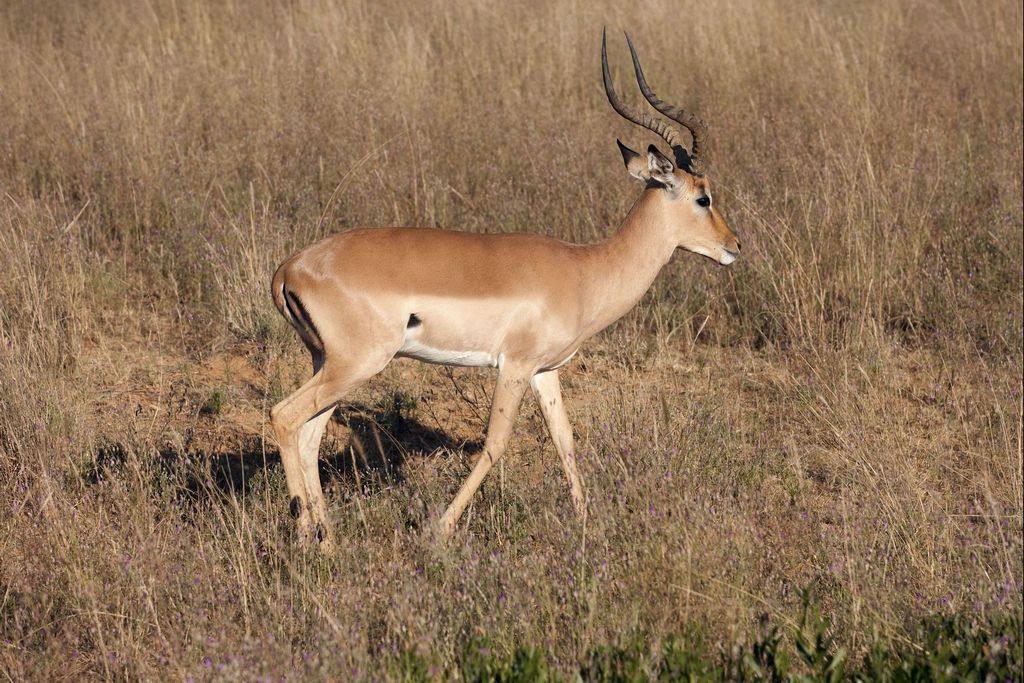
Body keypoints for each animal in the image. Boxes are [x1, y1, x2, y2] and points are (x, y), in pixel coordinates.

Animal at [270, 31, 740, 548]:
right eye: (703, 197)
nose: (735, 246)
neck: (585, 269)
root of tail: (290, 268)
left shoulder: (545, 371)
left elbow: (564, 438)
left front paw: (587, 525)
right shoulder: (513, 366)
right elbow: (495, 443)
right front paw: (439, 531)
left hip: (330, 364)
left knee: (309, 434)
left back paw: (328, 540)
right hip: (356, 363)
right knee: (284, 417)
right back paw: (304, 536)